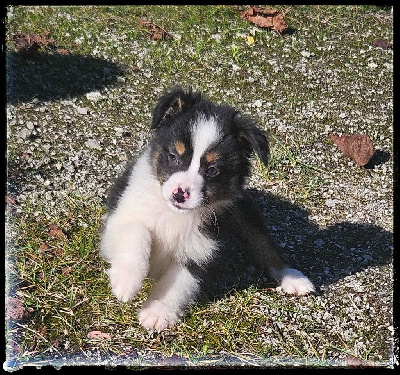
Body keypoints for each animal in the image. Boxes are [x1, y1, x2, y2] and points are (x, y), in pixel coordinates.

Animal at [99, 86, 312, 332]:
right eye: (174, 156)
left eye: (212, 170)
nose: (180, 194)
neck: (175, 215)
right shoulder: (119, 219)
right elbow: (137, 233)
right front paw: (126, 281)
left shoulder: (202, 249)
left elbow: (179, 282)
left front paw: (157, 311)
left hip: (246, 215)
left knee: (266, 246)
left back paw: (293, 278)